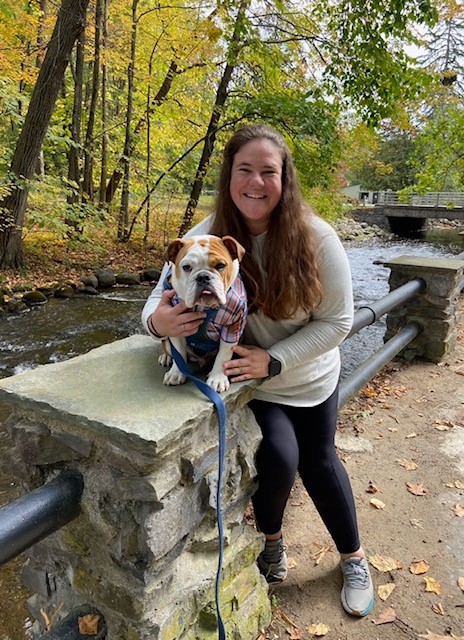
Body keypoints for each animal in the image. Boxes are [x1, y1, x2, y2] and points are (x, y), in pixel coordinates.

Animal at [159, 235, 248, 392]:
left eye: (220, 265)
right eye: (186, 267)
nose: (203, 277)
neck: (204, 307)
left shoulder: (233, 325)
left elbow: (224, 355)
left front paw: (217, 379)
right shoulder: (175, 324)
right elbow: (179, 353)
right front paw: (176, 373)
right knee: (167, 346)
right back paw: (166, 357)